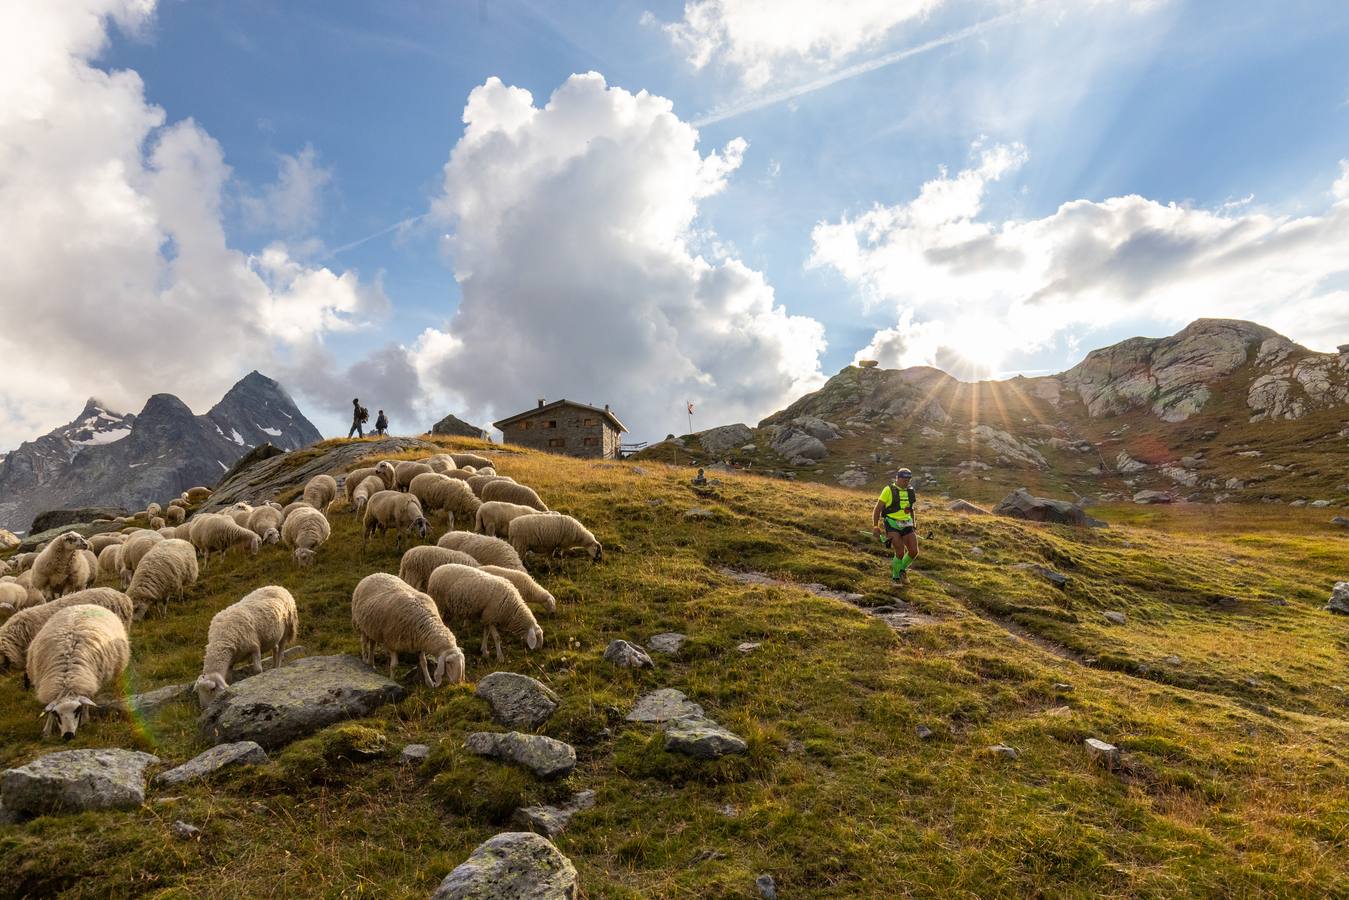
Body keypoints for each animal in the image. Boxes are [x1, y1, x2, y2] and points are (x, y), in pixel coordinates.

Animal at [27, 604, 129, 739]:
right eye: (56, 714)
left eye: (77, 711)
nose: (68, 735)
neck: (67, 679)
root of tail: (83, 605)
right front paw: (46, 731)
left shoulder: (86, 681)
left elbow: (86, 700)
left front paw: (85, 720)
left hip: (118, 666)